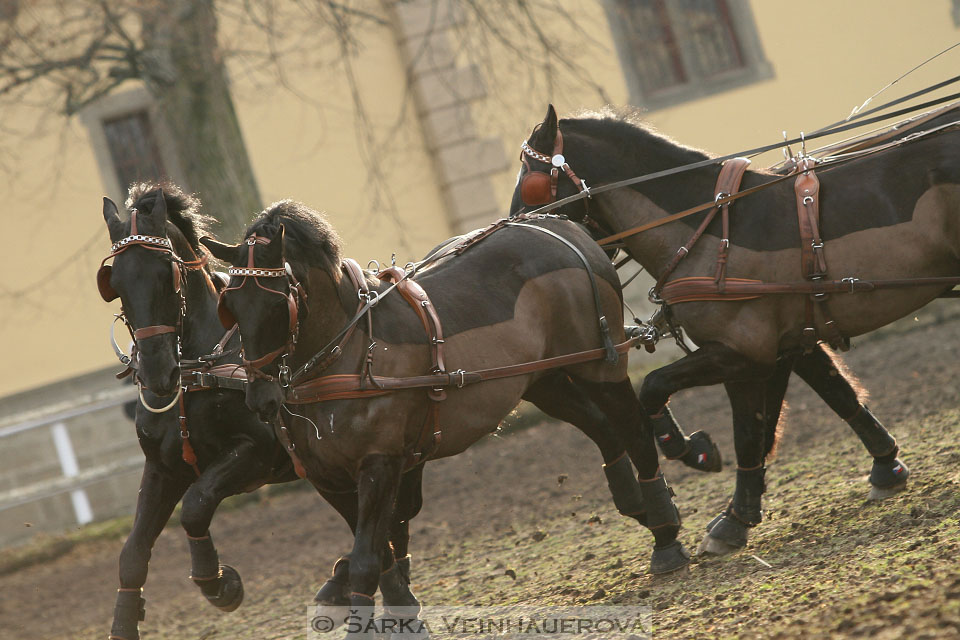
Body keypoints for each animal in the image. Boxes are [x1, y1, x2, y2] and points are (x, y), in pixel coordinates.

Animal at [98, 185, 424, 640]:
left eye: (167, 273)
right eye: (116, 282)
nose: (157, 372)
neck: (199, 370)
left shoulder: (258, 453)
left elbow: (196, 505)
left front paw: (220, 583)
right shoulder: (164, 466)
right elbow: (133, 553)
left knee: (389, 519)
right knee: (389, 521)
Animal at [204, 201, 688, 624]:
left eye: (277, 302)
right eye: (229, 304)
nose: (260, 397)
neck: (349, 351)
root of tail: (561, 227)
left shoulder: (380, 463)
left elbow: (367, 558)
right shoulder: (328, 477)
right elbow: (380, 551)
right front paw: (397, 607)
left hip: (600, 363)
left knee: (634, 428)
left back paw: (665, 532)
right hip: (542, 380)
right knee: (603, 428)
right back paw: (638, 504)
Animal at [512, 105, 956, 556]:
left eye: (530, 179)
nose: (516, 234)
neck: (707, 227)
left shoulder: (741, 354)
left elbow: (702, 409)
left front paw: (697, 461)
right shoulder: (785, 345)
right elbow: (823, 399)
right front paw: (885, 465)